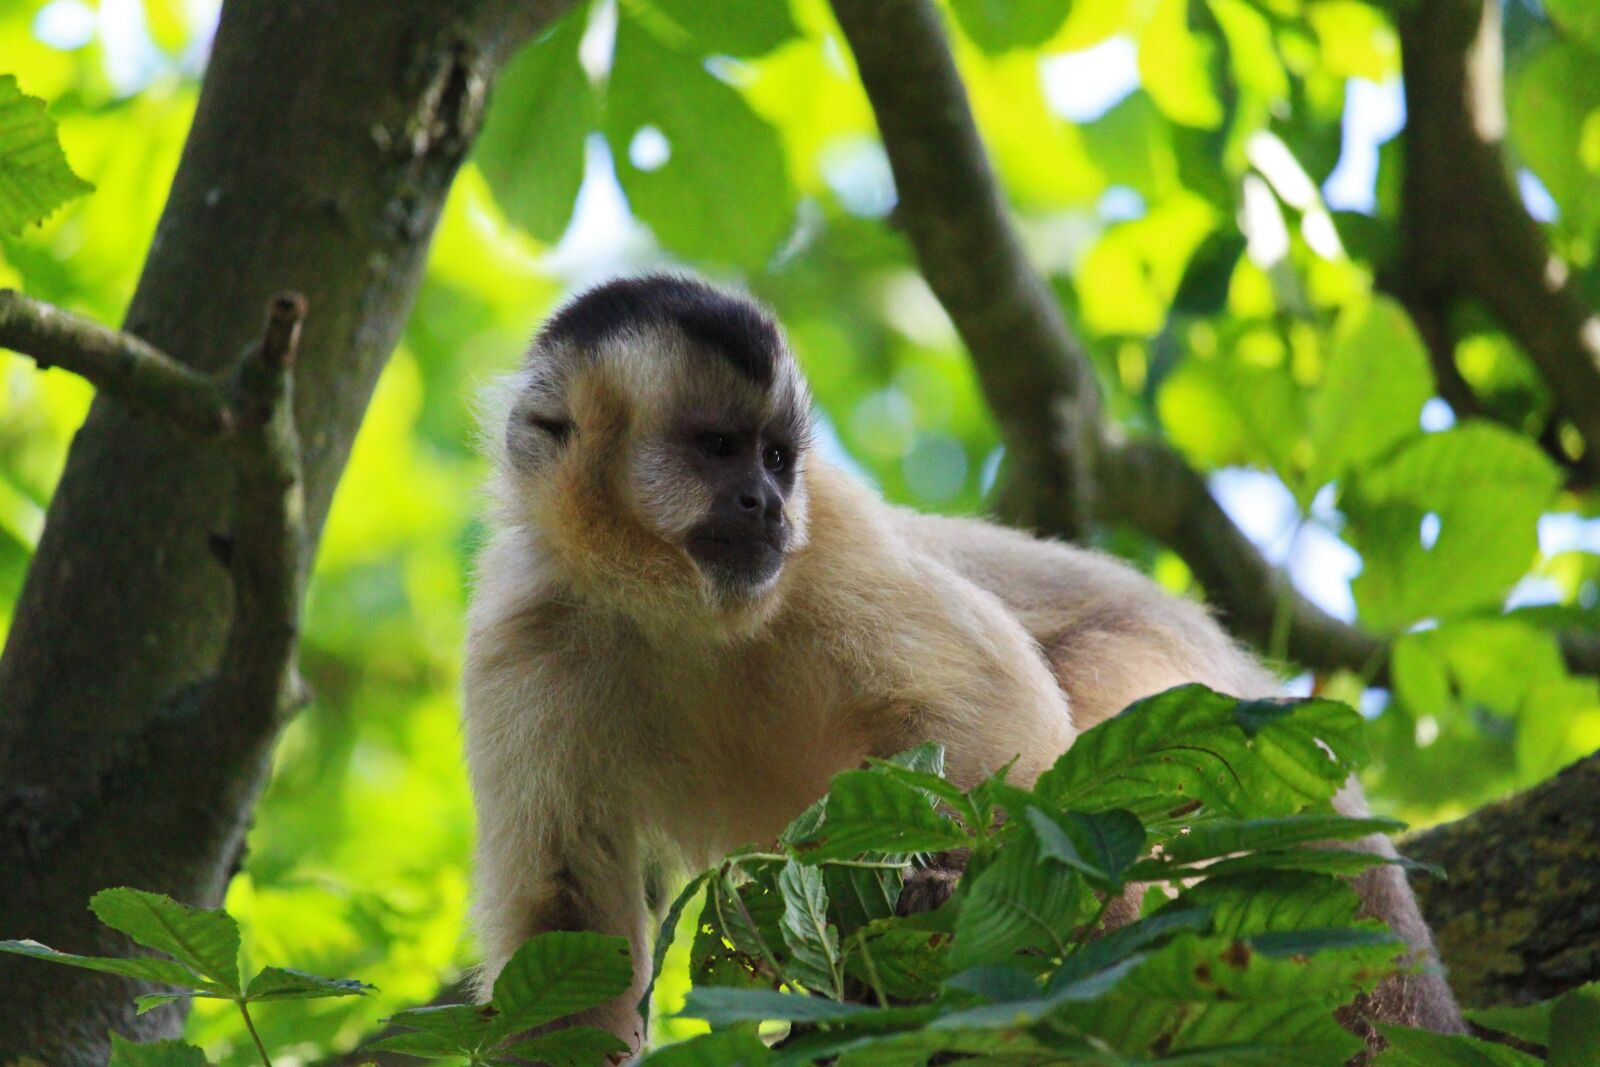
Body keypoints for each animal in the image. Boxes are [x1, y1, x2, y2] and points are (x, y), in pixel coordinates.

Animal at [461, 273, 1463, 1057]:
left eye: (776, 458)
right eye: (715, 448)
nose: (765, 502)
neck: (678, 614)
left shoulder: (829, 538)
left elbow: (995, 707)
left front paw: (933, 899)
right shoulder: (523, 636)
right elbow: (565, 915)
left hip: (1229, 721)